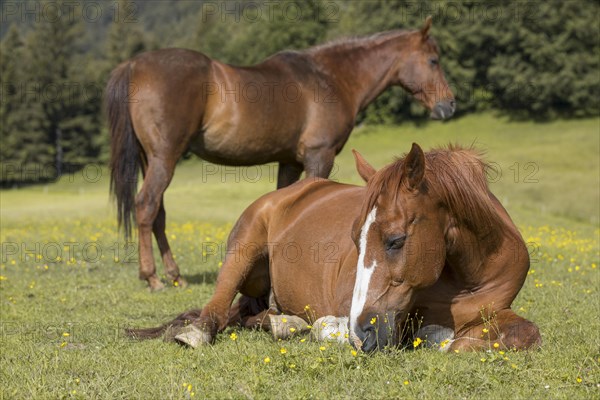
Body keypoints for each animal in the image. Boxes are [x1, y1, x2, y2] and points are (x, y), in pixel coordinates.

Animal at [106, 16, 454, 290]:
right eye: (433, 61)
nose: (448, 105)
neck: (331, 78)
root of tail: (134, 64)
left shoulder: (288, 162)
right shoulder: (319, 156)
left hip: (150, 160)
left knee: (158, 214)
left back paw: (174, 275)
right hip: (164, 159)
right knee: (146, 206)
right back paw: (152, 277)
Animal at [129, 141, 540, 354]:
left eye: (395, 240)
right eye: (355, 239)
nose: (363, 328)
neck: (465, 277)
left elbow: (525, 333)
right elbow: (329, 327)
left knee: (249, 315)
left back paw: (283, 323)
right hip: (243, 249)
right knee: (216, 307)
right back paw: (201, 332)